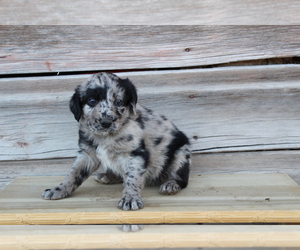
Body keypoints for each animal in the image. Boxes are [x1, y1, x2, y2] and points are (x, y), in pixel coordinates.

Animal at [42, 72, 191, 211]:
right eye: (92, 101)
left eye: (119, 102)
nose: (106, 122)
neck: (106, 136)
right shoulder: (87, 153)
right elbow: (73, 173)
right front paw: (58, 189)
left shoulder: (135, 153)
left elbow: (132, 178)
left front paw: (130, 198)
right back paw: (107, 176)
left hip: (182, 154)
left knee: (181, 178)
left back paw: (171, 184)